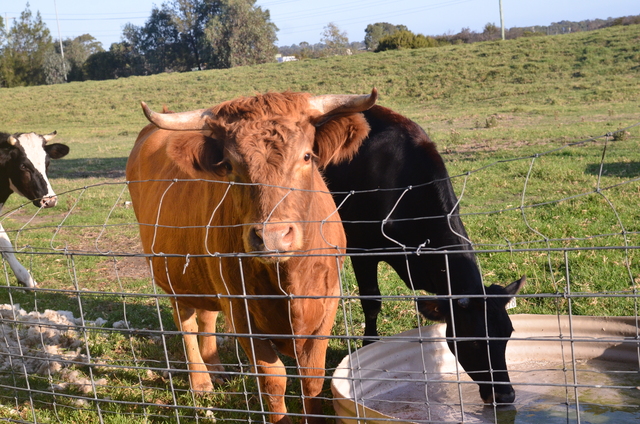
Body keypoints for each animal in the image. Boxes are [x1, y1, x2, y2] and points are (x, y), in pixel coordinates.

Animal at [126, 89, 377, 424]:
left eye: (307, 156)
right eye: (231, 166)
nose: (272, 236)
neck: (288, 280)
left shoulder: (327, 303)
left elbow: (312, 376)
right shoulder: (240, 311)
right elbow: (273, 380)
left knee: (206, 316)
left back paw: (217, 369)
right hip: (173, 275)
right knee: (187, 322)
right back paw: (201, 381)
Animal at [323, 105, 526, 405]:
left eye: (508, 334)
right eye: (474, 341)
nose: (505, 394)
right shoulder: (362, 249)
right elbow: (372, 301)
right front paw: (368, 347)